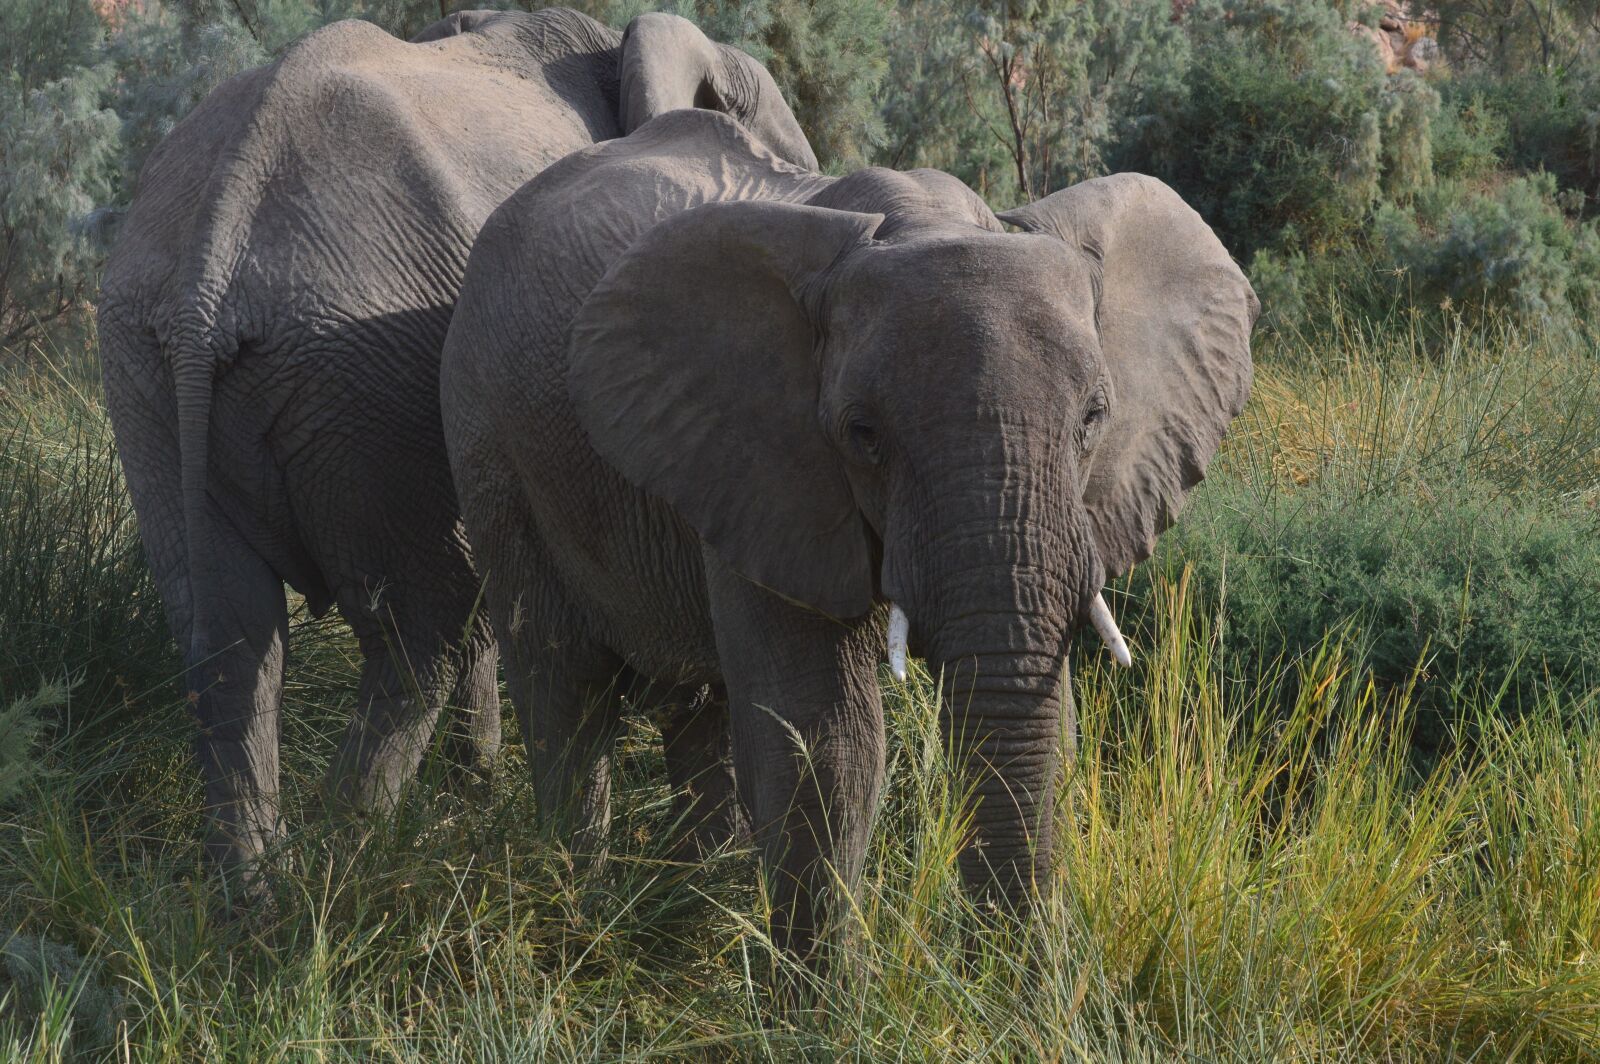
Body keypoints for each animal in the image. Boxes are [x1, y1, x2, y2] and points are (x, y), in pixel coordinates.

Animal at [96, 6, 816, 902]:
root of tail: (210, 273)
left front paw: (477, 795)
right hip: (360, 374)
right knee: (425, 633)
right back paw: (352, 858)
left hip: (150, 370)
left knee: (230, 633)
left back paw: (259, 899)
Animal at [440, 110, 1257, 962]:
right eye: (862, 434)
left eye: (1094, 419)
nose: (994, 972)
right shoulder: (758, 453)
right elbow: (826, 742)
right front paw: (822, 998)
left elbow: (1048, 718)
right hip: (491, 446)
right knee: (564, 689)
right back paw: (582, 915)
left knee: (698, 706)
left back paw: (698, 909)